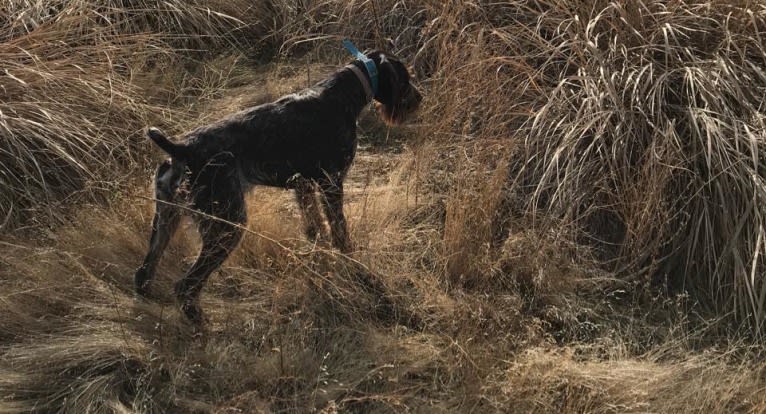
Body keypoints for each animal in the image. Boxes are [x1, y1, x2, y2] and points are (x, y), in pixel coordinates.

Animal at [135, 48, 424, 326]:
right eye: (405, 78)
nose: (420, 98)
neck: (344, 93)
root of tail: (181, 149)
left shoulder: (303, 186)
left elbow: (315, 229)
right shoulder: (332, 183)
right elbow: (340, 232)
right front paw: (352, 263)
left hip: (166, 218)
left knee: (144, 271)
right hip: (227, 225)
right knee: (186, 284)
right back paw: (201, 323)